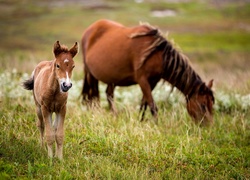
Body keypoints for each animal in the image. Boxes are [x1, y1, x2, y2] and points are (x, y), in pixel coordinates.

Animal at [81, 18, 214, 125]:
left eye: (212, 105)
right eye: (203, 105)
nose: (209, 127)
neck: (157, 55)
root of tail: (89, 30)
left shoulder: (153, 82)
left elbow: (144, 103)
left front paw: (140, 121)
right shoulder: (142, 80)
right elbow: (152, 105)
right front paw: (157, 125)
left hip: (112, 78)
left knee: (109, 95)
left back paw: (115, 116)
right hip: (90, 74)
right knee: (93, 96)